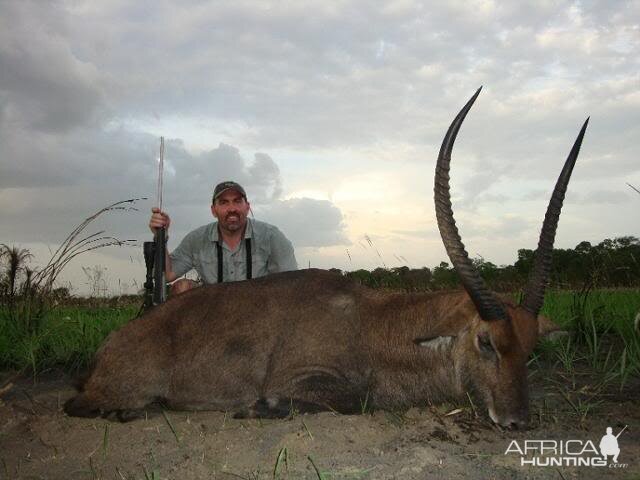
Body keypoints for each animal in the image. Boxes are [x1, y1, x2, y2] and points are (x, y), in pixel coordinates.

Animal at [65, 90, 592, 428]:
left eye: (530, 347)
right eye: (486, 342)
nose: (518, 421)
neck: (373, 324)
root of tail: (107, 348)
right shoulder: (302, 376)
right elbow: (352, 400)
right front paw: (259, 407)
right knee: (79, 405)